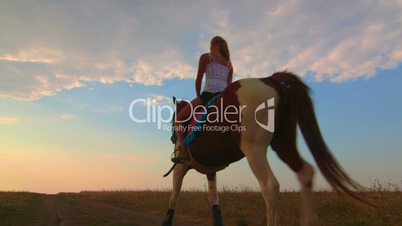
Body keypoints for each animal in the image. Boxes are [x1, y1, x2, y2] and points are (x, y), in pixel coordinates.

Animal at [162, 72, 372, 226]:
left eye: (173, 118)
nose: (173, 138)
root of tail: (270, 79)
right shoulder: (211, 170)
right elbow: (214, 202)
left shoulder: (180, 167)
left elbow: (173, 198)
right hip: (283, 144)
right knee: (305, 171)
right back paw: (309, 219)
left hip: (254, 150)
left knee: (270, 186)